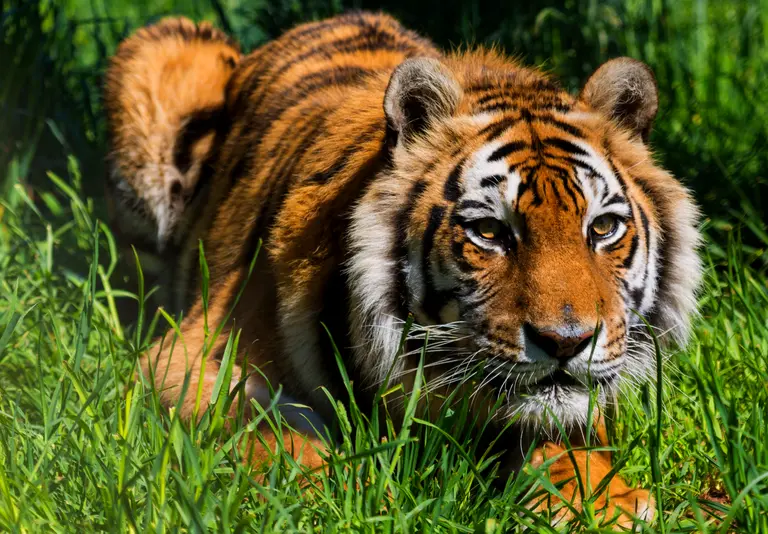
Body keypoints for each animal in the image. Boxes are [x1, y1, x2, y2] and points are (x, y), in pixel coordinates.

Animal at [105, 12, 702, 527]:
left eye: (602, 228)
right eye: (490, 232)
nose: (566, 342)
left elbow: (560, 434)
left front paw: (606, 503)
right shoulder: (182, 360)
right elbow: (273, 425)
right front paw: (354, 495)